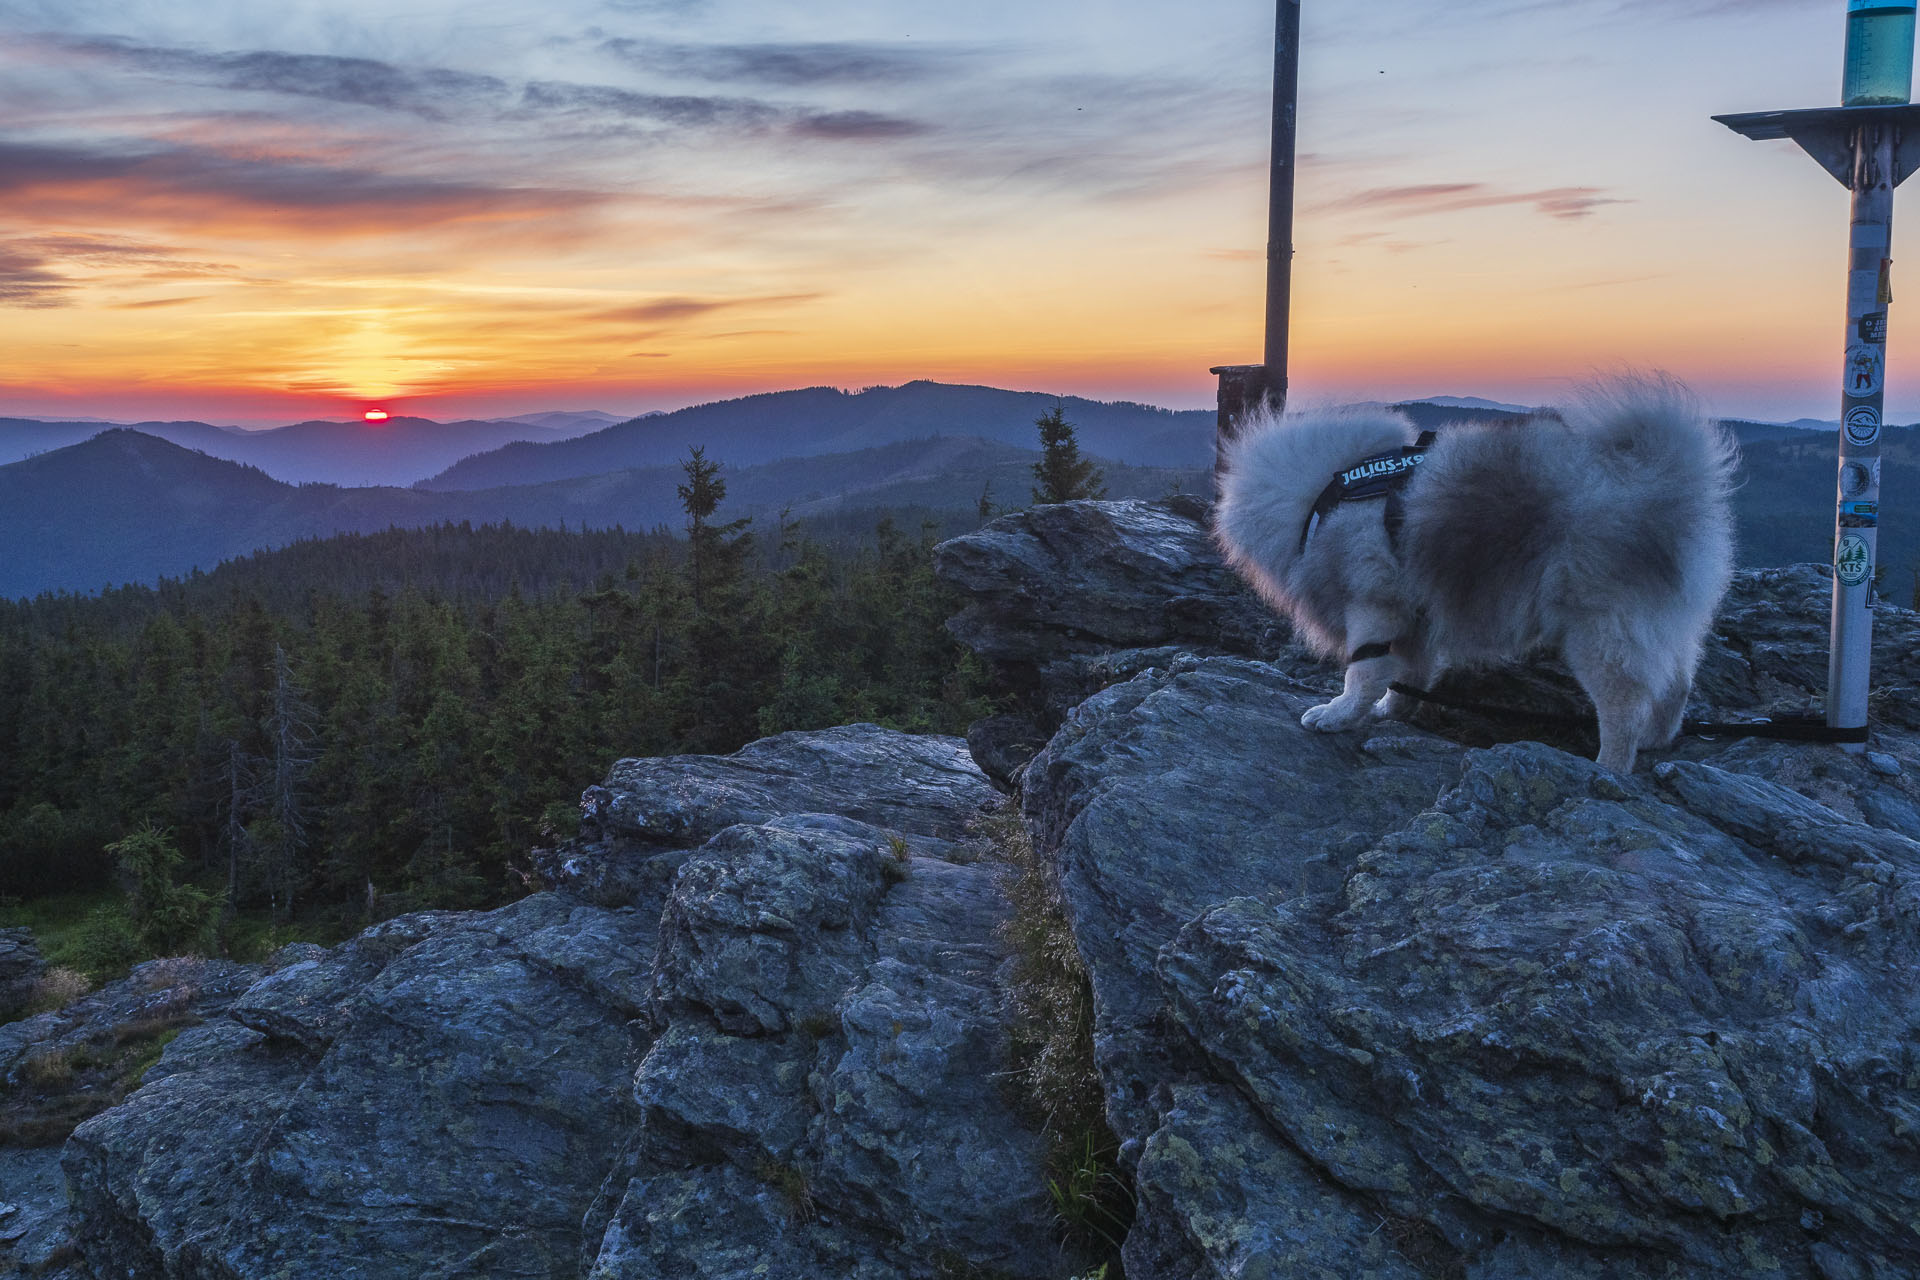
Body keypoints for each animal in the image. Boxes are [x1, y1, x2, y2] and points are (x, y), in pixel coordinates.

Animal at [1213, 376, 1743, 775]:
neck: (1328, 488)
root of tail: (1669, 480)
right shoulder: (1416, 617)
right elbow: (1409, 673)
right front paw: (1392, 712)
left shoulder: (1373, 603)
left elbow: (1362, 671)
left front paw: (1337, 714)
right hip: (1664, 622)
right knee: (1677, 683)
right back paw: (1656, 742)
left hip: (1598, 630)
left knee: (1624, 703)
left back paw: (1608, 768)